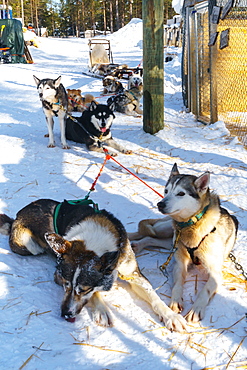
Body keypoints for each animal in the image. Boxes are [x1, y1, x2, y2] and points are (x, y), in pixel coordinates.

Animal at [0, 198, 185, 330]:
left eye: (83, 289)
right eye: (65, 284)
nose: (65, 314)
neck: (95, 242)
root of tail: (18, 215)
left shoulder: (133, 274)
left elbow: (154, 296)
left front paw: (170, 316)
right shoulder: (57, 275)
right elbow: (96, 294)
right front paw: (102, 310)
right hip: (27, 245)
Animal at [128, 165, 238, 324]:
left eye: (181, 193)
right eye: (166, 191)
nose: (160, 204)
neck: (193, 225)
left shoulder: (216, 273)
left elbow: (205, 291)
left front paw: (196, 309)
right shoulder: (180, 263)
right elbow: (177, 284)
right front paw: (175, 300)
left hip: (171, 242)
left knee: (151, 238)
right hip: (165, 230)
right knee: (145, 232)